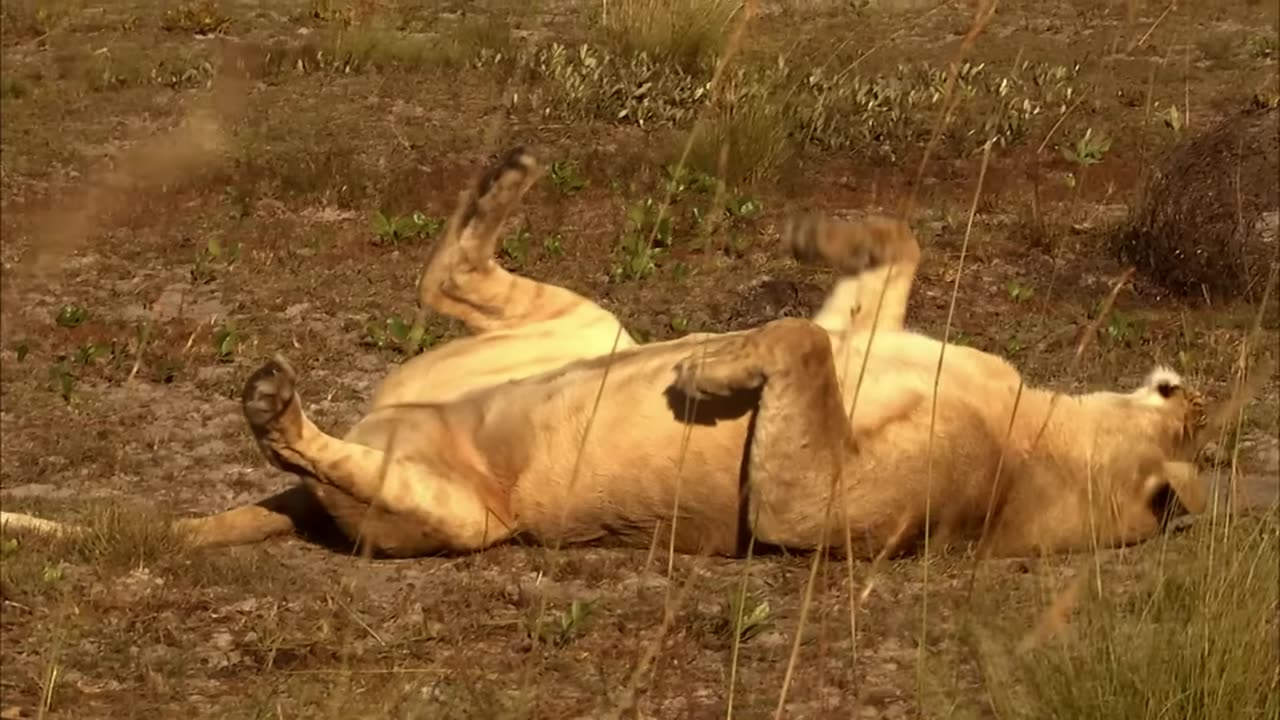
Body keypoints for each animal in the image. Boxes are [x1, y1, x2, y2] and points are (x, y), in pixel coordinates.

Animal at [0, 147, 1218, 561]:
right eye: (1190, 406)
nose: (1191, 390)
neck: (1044, 429)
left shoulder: (825, 517)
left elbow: (796, 346)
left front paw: (717, 371)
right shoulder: (868, 323)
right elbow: (885, 254)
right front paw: (807, 234)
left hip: (461, 518)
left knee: (333, 446)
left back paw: (274, 405)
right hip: (588, 326)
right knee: (444, 274)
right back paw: (505, 177)